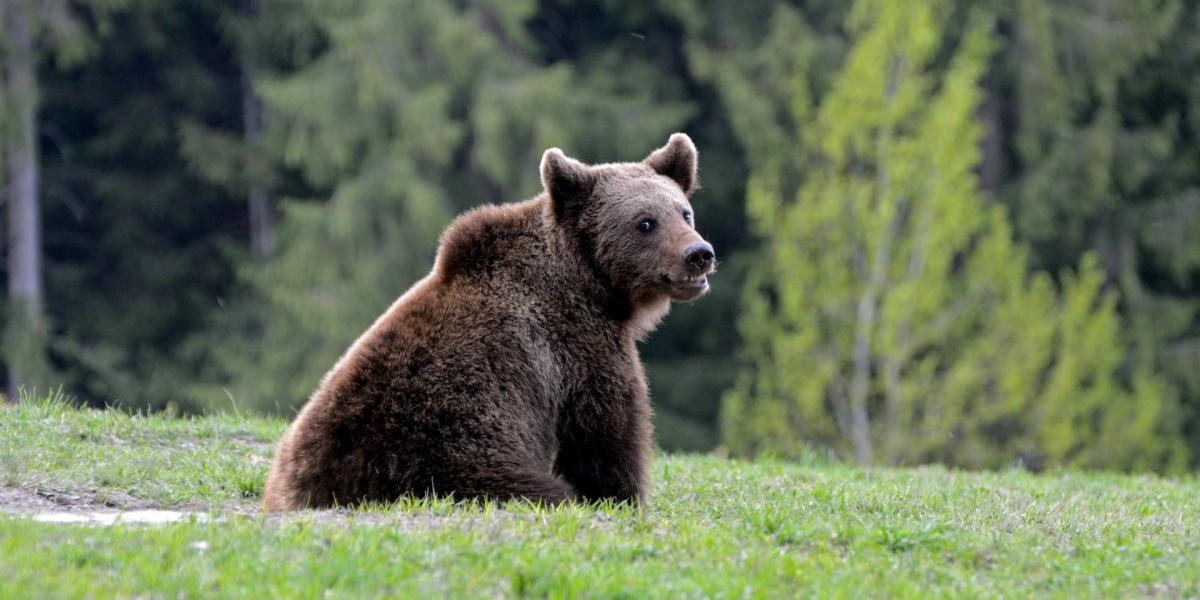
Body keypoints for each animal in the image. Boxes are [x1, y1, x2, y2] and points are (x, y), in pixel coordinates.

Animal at [262, 133, 710, 508]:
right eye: (646, 222)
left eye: (685, 213)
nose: (699, 254)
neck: (590, 284)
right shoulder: (578, 346)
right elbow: (606, 430)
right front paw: (621, 494)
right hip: (454, 456)